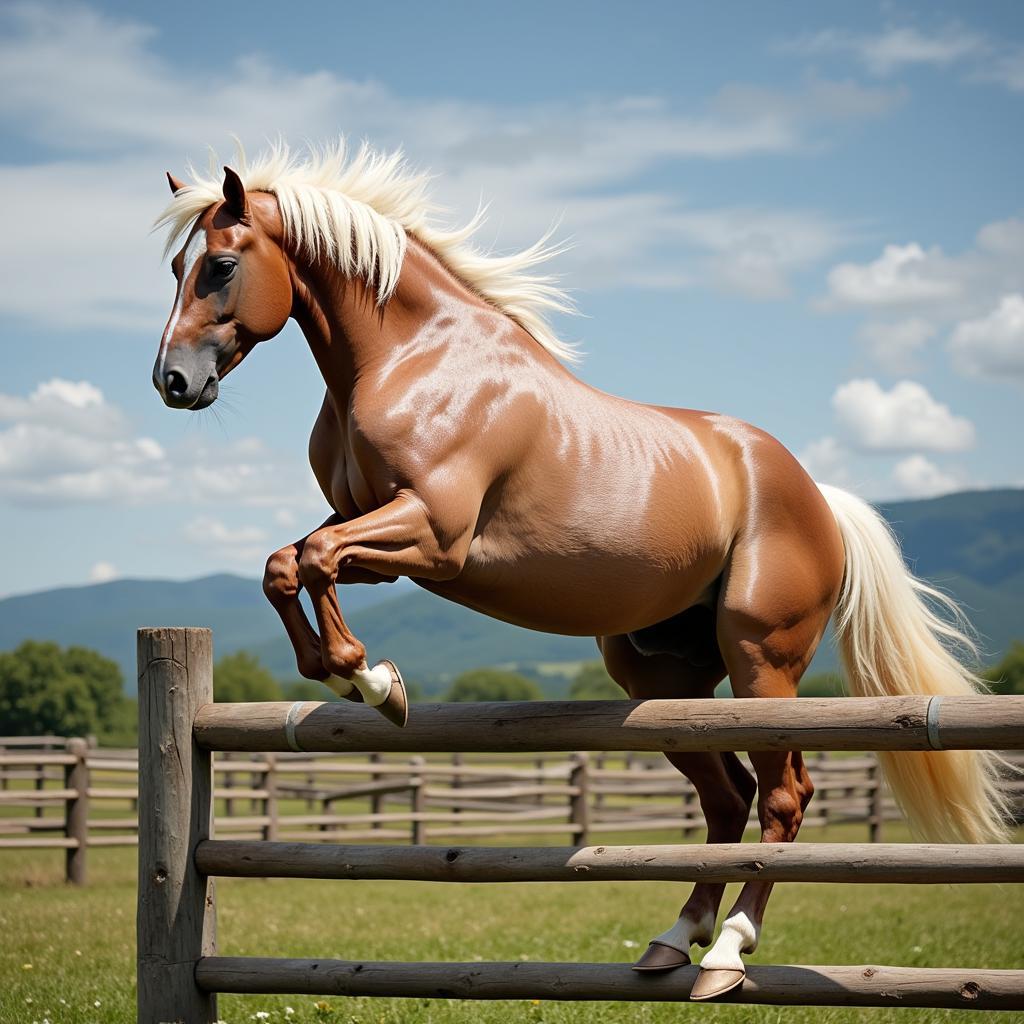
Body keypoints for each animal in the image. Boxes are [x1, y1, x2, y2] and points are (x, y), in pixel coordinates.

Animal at [151, 142, 1007, 999]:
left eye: (220, 265)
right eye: (177, 267)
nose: (172, 382)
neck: (409, 360)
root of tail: (818, 496)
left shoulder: (434, 534)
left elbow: (316, 561)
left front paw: (372, 680)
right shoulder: (379, 539)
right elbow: (286, 564)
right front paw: (341, 672)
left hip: (762, 663)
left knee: (784, 798)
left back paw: (726, 955)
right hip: (660, 679)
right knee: (728, 798)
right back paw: (672, 942)